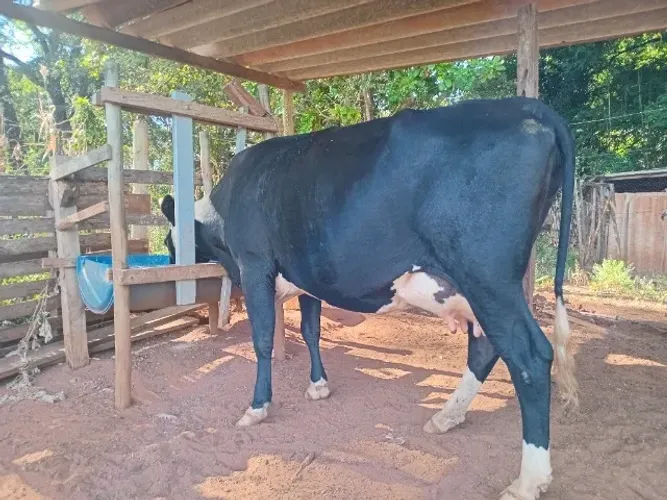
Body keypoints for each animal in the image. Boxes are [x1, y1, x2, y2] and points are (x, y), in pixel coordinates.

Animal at [161, 96, 577, 500]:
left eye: (169, 238)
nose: (168, 260)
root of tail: (527, 106)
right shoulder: (308, 277)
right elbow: (311, 330)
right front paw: (319, 385)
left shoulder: (254, 265)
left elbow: (262, 340)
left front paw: (257, 406)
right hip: (475, 287)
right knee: (486, 347)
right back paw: (446, 417)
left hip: (488, 277)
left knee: (529, 356)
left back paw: (528, 481)